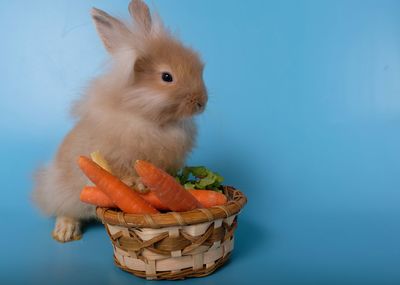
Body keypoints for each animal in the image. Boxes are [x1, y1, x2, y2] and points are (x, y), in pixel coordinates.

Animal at [32, 0, 208, 242]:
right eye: (167, 77)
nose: (202, 102)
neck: (147, 117)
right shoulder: (116, 157)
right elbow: (121, 174)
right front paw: (137, 185)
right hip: (64, 192)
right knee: (65, 210)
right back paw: (65, 232)